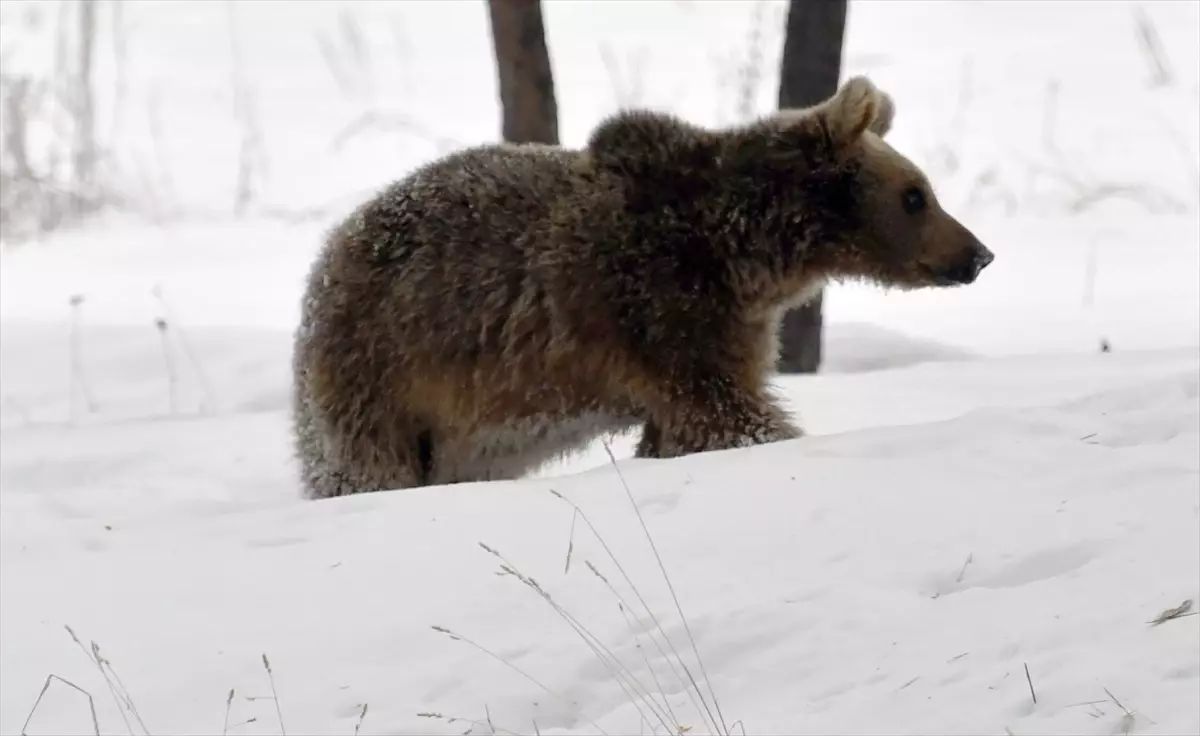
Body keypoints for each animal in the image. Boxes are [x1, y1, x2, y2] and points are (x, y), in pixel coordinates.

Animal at [290, 75, 993, 499]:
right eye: (916, 195)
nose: (978, 254)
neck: (745, 251)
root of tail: (326, 258)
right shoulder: (659, 307)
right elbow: (726, 415)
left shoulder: (728, 325)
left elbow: (685, 426)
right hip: (385, 371)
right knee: (367, 467)